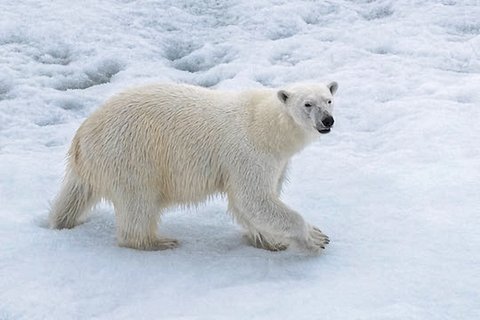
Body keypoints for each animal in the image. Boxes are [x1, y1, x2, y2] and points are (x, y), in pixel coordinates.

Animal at [49, 82, 338, 252]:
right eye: (307, 104)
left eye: (328, 99)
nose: (327, 120)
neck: (266, 126)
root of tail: (82, 135)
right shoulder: (249, 152)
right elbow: (255, 199)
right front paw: (315, 236)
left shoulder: (277, 160)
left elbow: (251, 203)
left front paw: (270, 240)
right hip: (131, 154)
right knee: (139, 201)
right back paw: (157, 241)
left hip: (96, 164)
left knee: (74, 195)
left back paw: (61, 221)